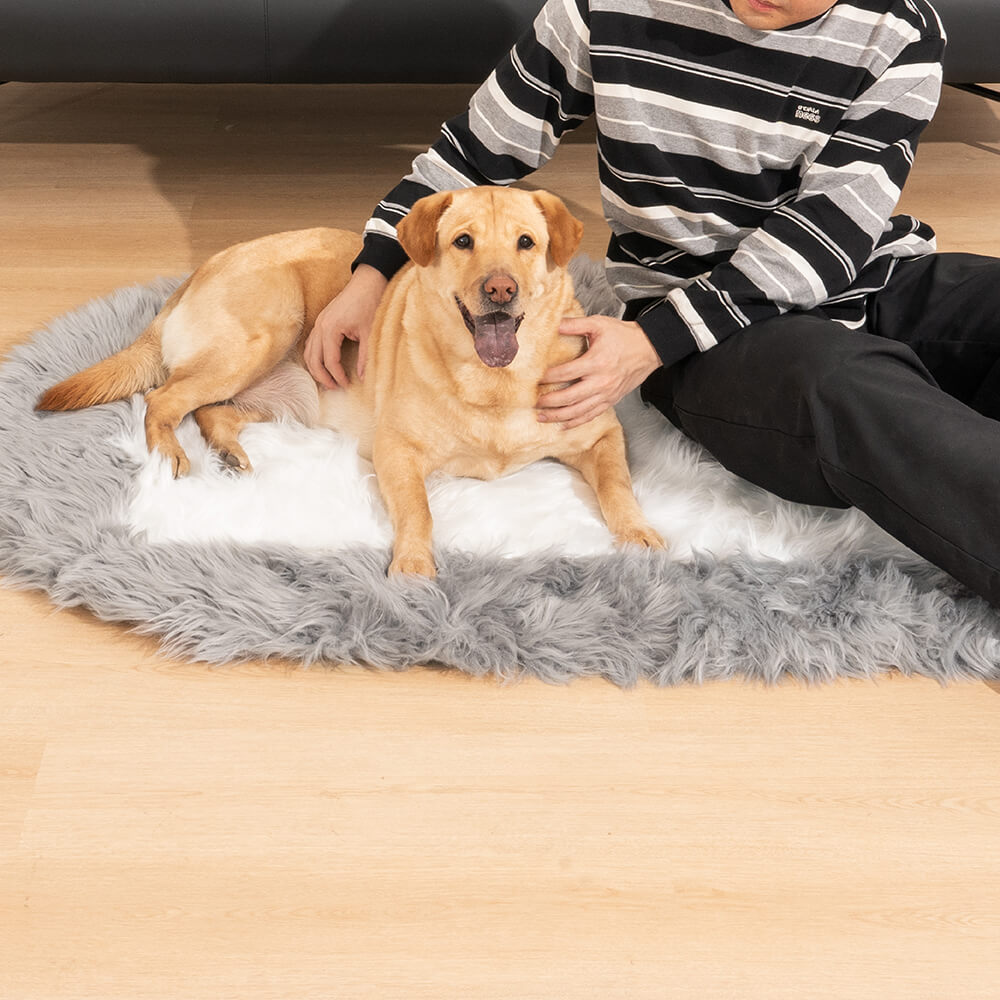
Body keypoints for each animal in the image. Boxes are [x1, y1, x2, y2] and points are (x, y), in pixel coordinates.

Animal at [37, 187, 664, 576]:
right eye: (463, 241)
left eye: (526, 243)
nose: (500, 289)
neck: (496, 383)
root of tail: (191, 278)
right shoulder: (397, 451)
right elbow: (419, 510)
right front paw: (413, 565)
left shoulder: (601, 437)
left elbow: (619, 487)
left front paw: (639, 535)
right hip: (268, 328)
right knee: (162, 398)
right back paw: (169, 454)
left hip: (283, 395)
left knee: (212, 410)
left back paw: (231, 452)